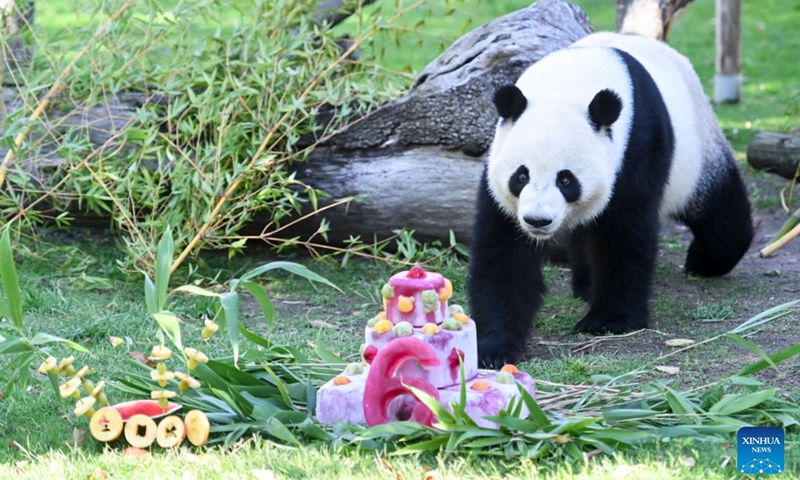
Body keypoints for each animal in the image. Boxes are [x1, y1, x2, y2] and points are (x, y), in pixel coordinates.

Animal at [468, 32, 754, 368]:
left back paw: (704, 261)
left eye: (566, 179)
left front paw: (608, 321)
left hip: (696, 146)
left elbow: (624, 233)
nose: (538, 220)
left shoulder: (635, 146)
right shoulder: (498, 169)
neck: (568, 84)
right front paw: (493, 347)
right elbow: (504, 253)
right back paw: (585, 284)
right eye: (521, 176)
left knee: (715, 205)